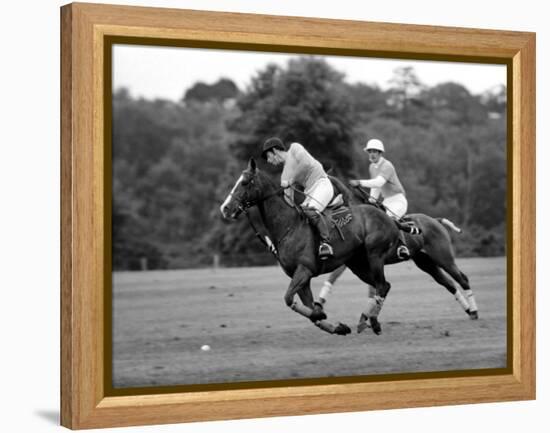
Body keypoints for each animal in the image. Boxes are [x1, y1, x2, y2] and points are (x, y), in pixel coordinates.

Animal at [221, 159, 410, 334]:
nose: (225, 208)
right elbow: (309, 309)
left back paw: (372, 321)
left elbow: (289, 299)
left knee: (382, 285)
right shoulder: (300, 278)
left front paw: (322, 314)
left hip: (375, 256)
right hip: (358, 264)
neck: (288, 226)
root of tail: (389, 218)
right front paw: (337, 327)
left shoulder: (304, 270)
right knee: (383, 285)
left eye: (245, 182)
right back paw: (367, 320)